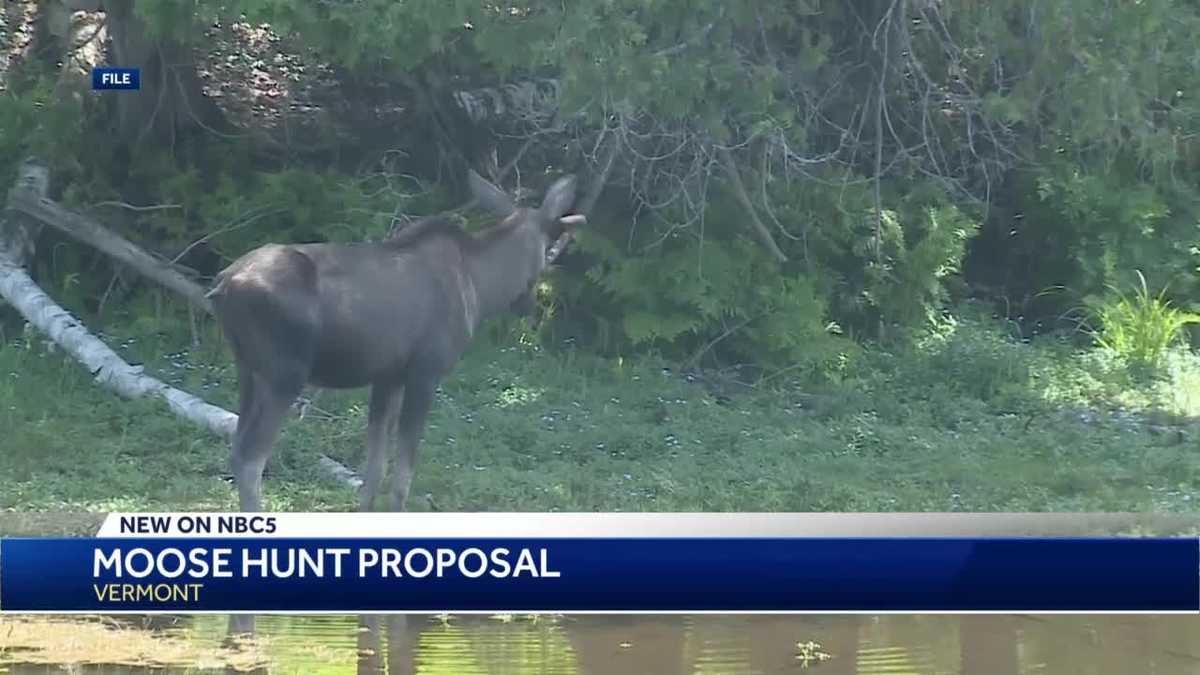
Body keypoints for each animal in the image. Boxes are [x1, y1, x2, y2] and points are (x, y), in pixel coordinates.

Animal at [207, 170, 586, 512]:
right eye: (546, 248)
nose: (531, 304)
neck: (482, 288)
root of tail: (223, 284)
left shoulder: (387, 377)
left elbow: (374, 468)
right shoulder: (425, 373)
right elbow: (403, 472)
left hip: (248, 370)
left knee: (237, 446)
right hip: (284, 375)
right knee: (250, 459)